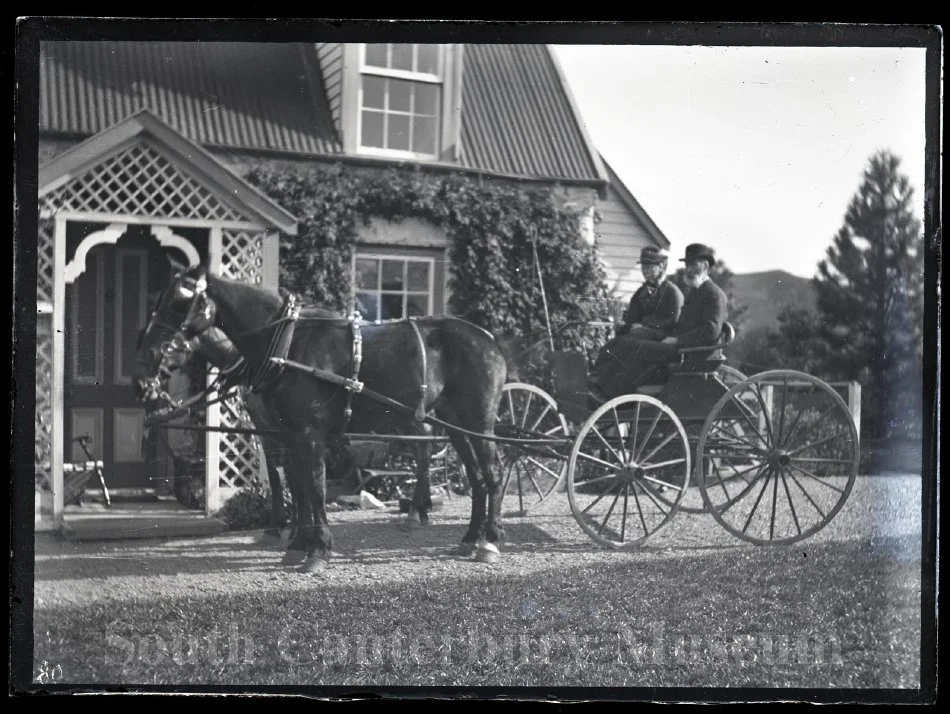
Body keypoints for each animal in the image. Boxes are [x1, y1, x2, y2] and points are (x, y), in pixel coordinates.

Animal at [136, 262, 512, 572]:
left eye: (179, 302)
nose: (145, 362)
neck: (287, 344)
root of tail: (488, 338)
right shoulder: (286, 433)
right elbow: (297, 486)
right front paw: (298, 545)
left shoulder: (308, 432)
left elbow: (314, 488)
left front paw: (317, 550)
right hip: (456, 425)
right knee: (477, 477)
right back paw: (468, 538)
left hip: (478, 422)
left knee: (492, 474)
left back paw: (488, 541)